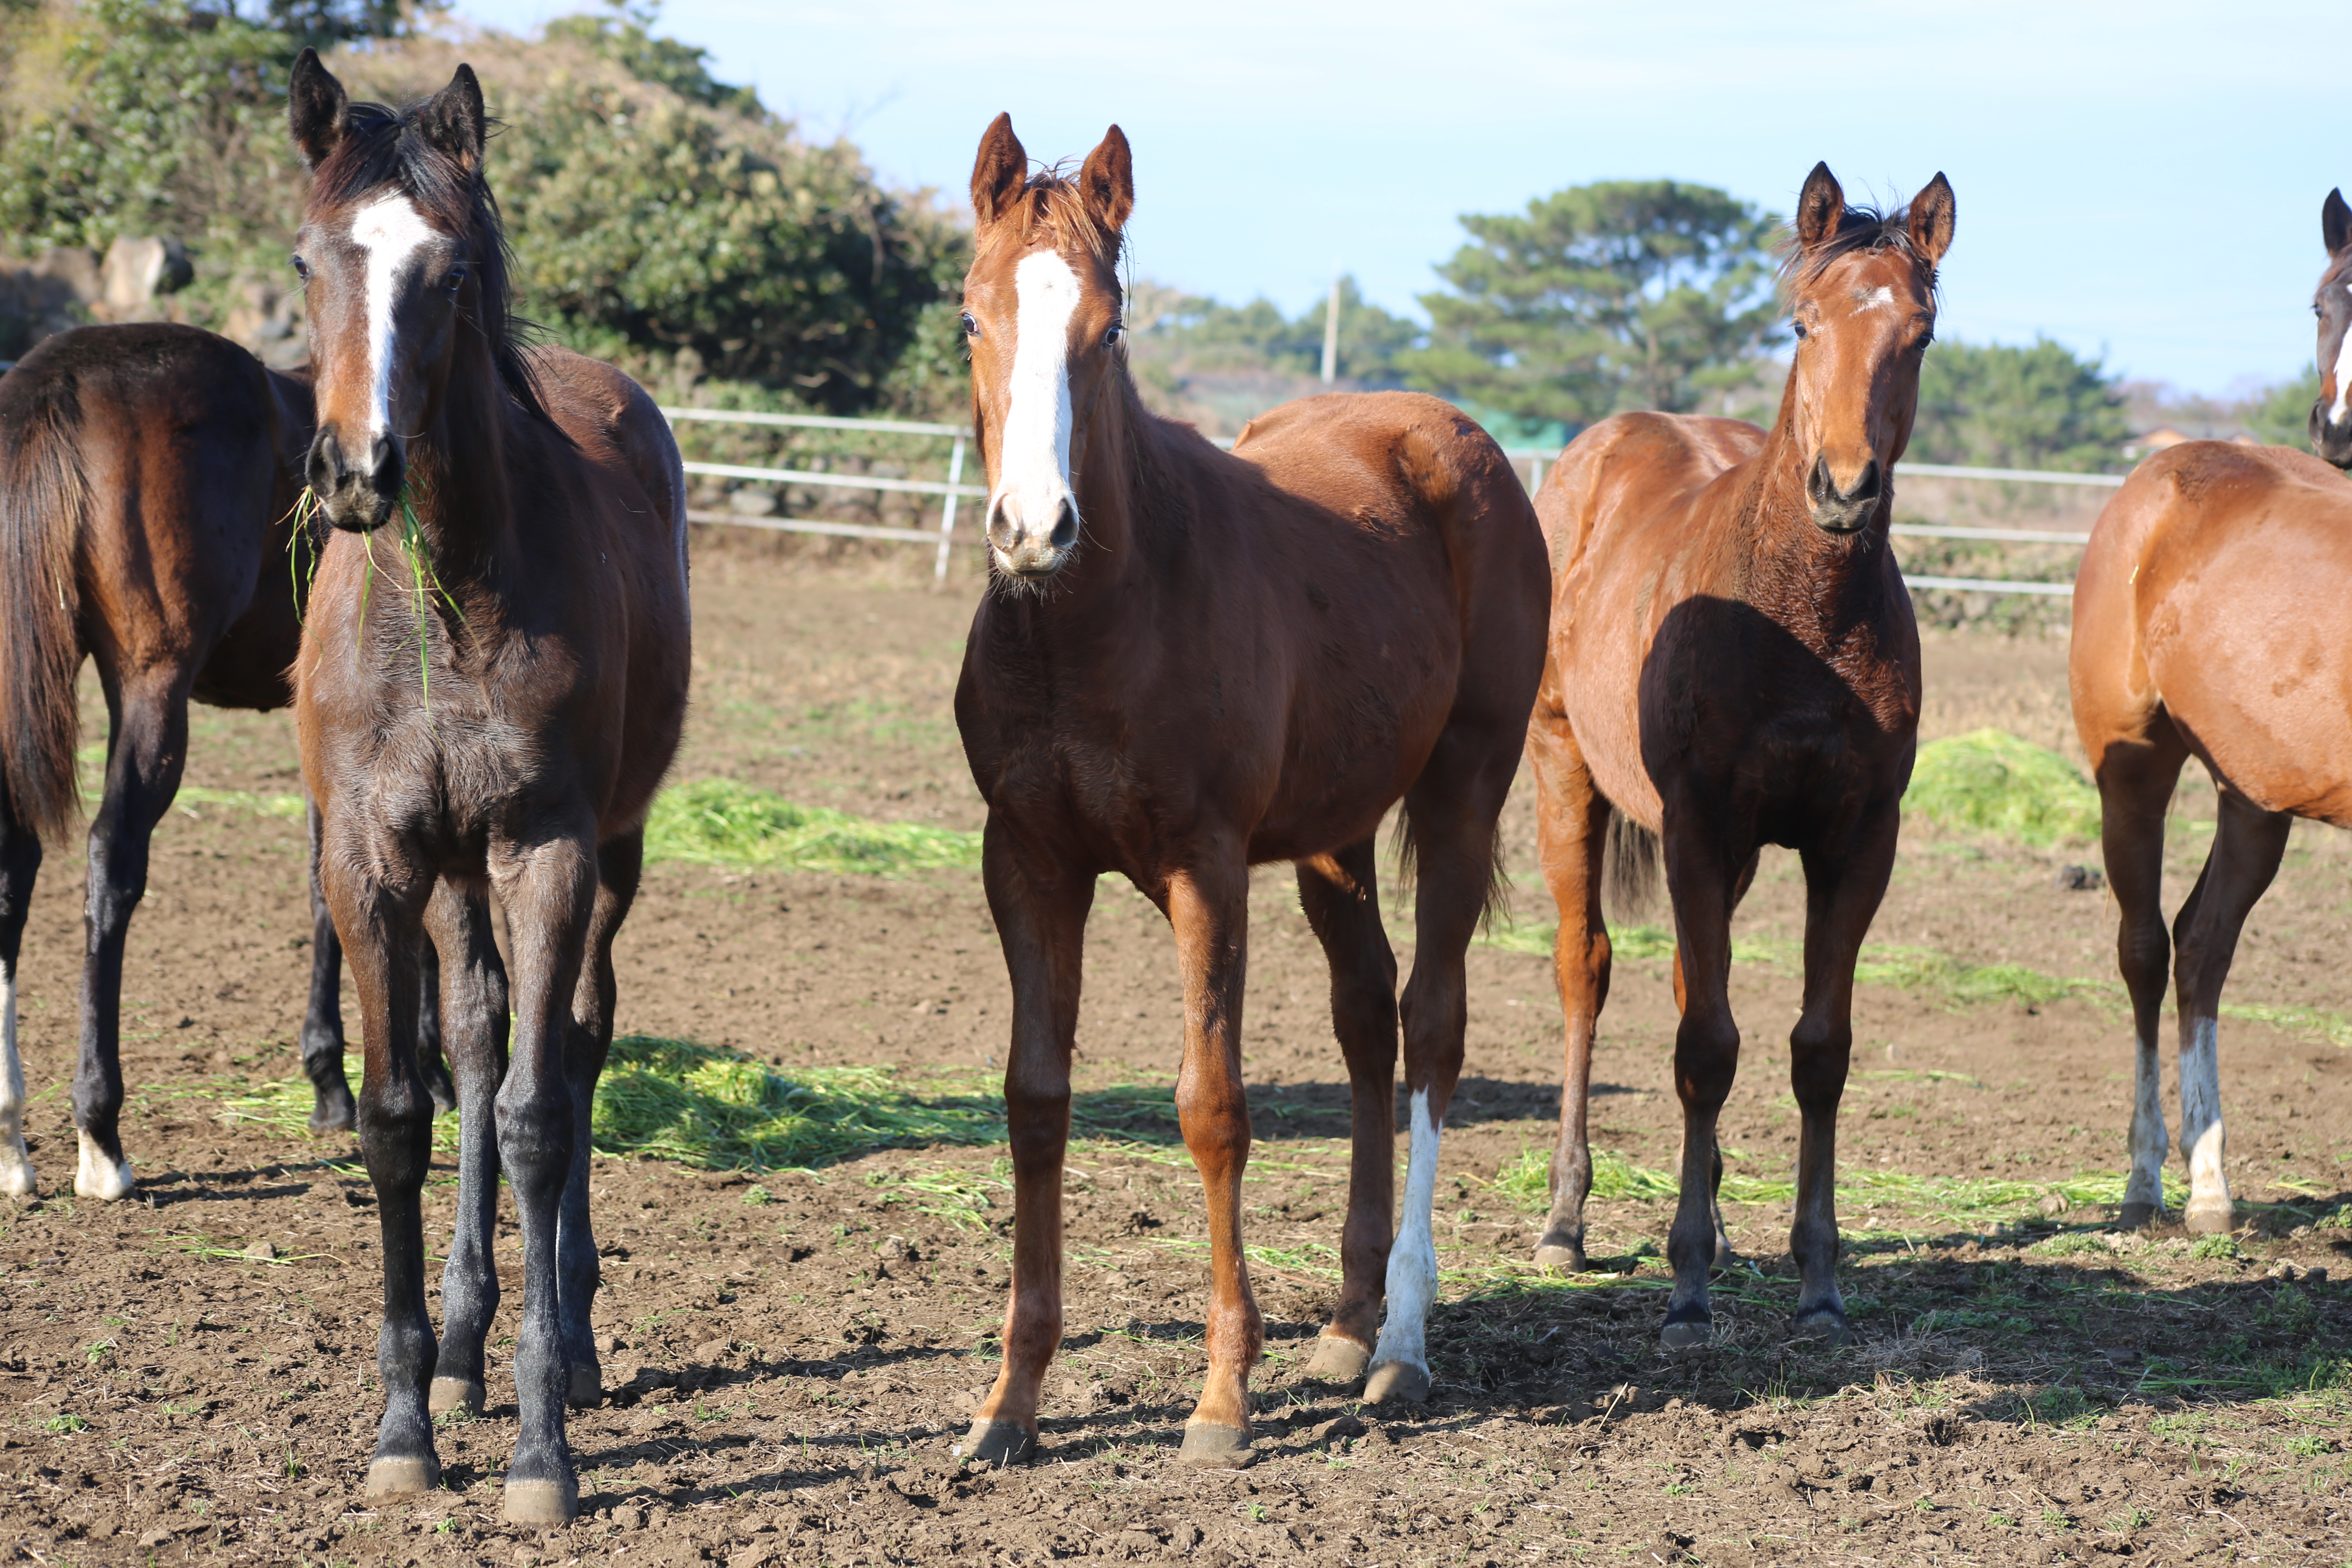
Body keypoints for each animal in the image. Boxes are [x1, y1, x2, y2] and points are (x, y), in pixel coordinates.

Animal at [0, 322, 454, 1203]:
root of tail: (55, 382)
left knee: (13, 869)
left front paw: (330, 1079)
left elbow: (324, 881)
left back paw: (10, 1138)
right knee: (112, 865)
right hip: (152, 685)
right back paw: (100, 1135)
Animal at [283, 55, 686, 1523]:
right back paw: (462, 1350)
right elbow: (406, 1118)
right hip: (453, 878)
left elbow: (533, 1118)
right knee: (472, 1034)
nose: (356, 472)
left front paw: (540, 1452)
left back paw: (568, 1341)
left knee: (568, 1046)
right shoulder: (373, 861)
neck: (445, 603)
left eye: (449, 274)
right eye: (308, 259)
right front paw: (409, 1422)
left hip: (607, 854)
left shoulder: (547, 849)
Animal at [945, 113, 1552, 1476]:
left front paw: (1222, 1398)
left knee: (1431, 1025)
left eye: (1111, 324)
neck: (1091, 627)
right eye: (970, 317)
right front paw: (1009, 1404)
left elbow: (1212, 1106)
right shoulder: (1027, 863)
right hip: (1334, 837)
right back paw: (1345, 1322)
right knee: (1366, 1019)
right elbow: (1035, 1099)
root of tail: (1454, 435)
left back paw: (1400, 1344)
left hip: (1462, 789)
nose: (1031, 527)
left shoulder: (1205, 868)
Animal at [1524, 162, 1947, 1354]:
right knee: (1587, 970)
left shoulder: (1852, 841)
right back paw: (1568, 1219)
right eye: (1801, 323)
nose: (1844, 488)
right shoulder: (1700, 824)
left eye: (1918, 333)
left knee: (1682, 982)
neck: (1801, 623)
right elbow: (1704, 1047)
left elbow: (1816, 1049)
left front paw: (1817, 1278)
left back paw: (1710, 1210)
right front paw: (1684, 1289)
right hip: (1567, 774)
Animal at [2069, 187, 2352, 1241]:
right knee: (2148, 949)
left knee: (2201, 947)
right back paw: (2150, 1177)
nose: (2335, 427)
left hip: (2253, 798)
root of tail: (2159, 470)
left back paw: (2209, 1182)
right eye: (2321, 303)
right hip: (2133, 771)